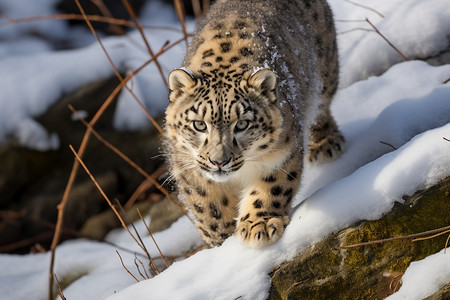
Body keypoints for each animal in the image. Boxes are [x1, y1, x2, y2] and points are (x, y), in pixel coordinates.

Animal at [163, 0, 342, 247]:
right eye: (199, 124)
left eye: (241, 125)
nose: (219, 162)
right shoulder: (188, 167)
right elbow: (209, 207)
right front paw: (222, 239)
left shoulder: (282, 154)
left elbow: (272, 187)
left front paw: (259, 225)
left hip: (326, 69)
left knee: (321, 108)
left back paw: (325, 143)